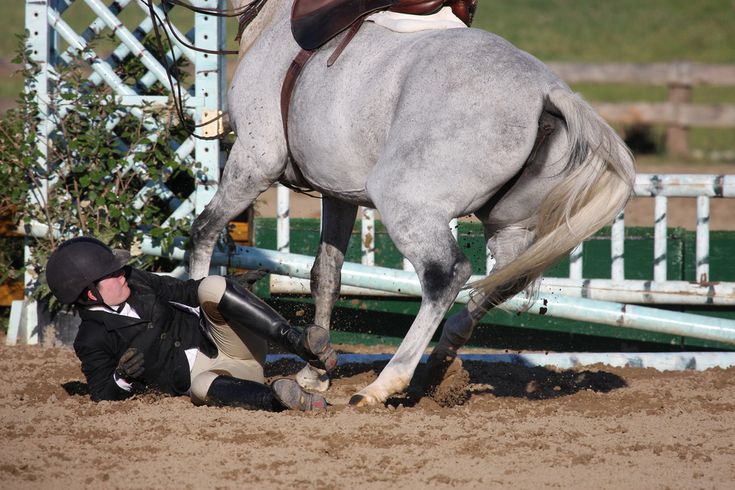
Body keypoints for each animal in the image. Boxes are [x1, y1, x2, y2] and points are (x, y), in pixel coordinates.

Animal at [188, 0, 632, 406]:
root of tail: (547, 91)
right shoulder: (337, 193)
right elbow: (326, 275)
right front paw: (315, 370)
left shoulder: (254, 161)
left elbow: (203, 231)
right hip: (510, 227)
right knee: (502, 281)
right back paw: (439, 364)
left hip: (404, 202)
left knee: (446, 275)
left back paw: (385, 384)